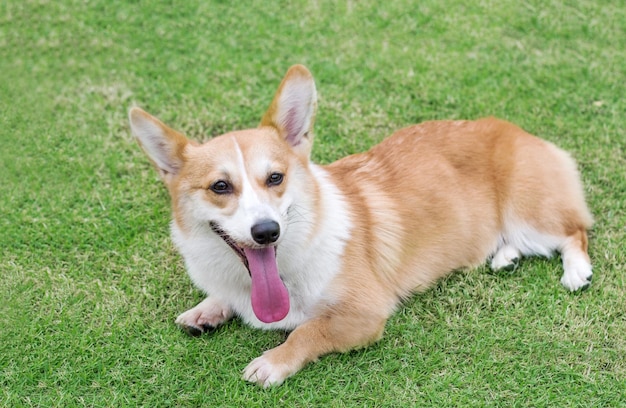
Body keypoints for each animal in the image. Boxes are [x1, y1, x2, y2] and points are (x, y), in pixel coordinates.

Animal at [127, 63, 588, 386]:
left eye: (275, 178)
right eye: (220, 186)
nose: (266, 232)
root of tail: (513, 128)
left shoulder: (363, 314)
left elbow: (306, 331)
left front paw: (272, 363)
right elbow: (226, 300)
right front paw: (207, 310)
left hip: (530, 214)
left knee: (573, 231)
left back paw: (576, 271)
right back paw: (504, 257)